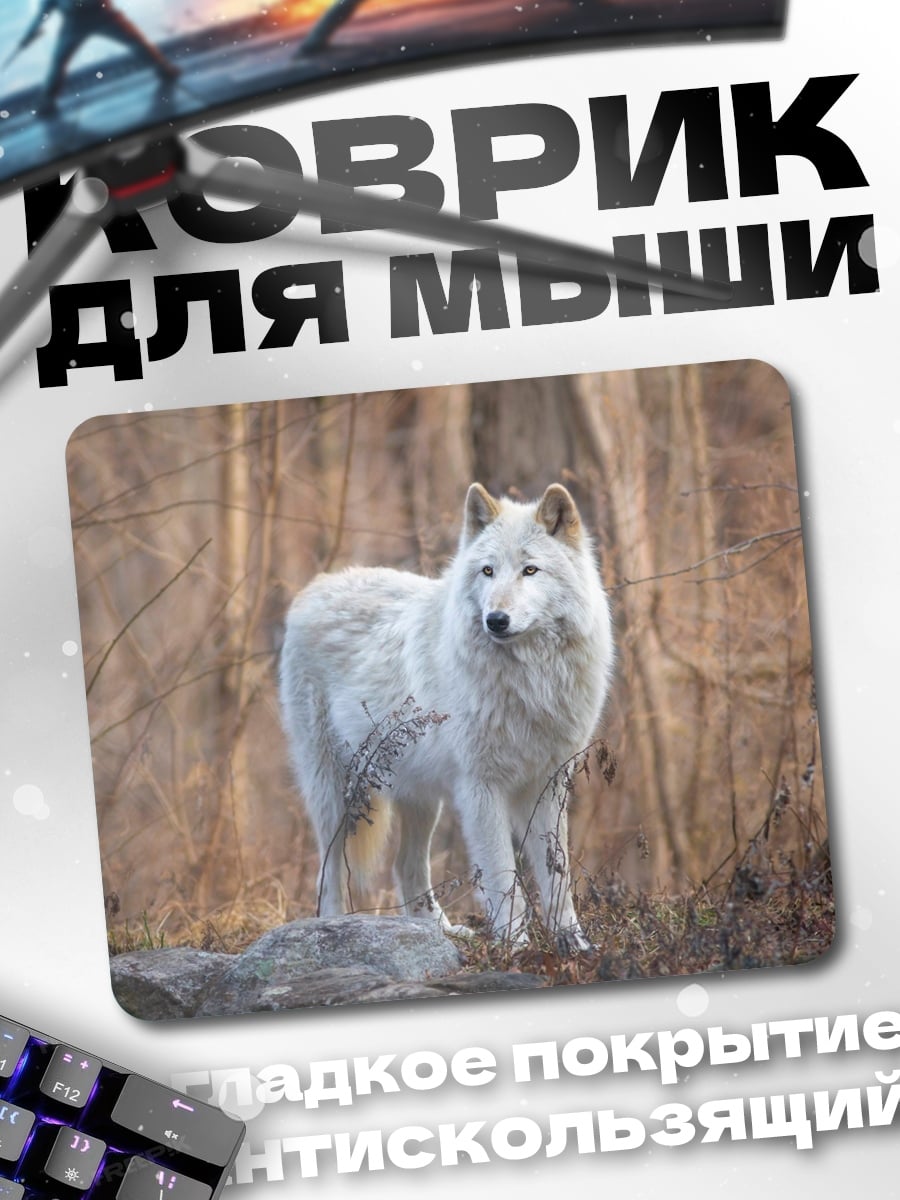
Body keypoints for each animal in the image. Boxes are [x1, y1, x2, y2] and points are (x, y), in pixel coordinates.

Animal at [278, 482, 614, 951]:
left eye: (530, 570)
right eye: (488, 571)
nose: (496, 620)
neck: (530, 681)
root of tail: (317, 585)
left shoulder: (548, 783)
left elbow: (557, 876)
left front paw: (573, 944)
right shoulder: (480, 787)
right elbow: (502, 876)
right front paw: (515, 947)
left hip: (421, 798)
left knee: (406, 867)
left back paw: (441, 932)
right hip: (335, 792)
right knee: (328, 873)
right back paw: (329, 929)